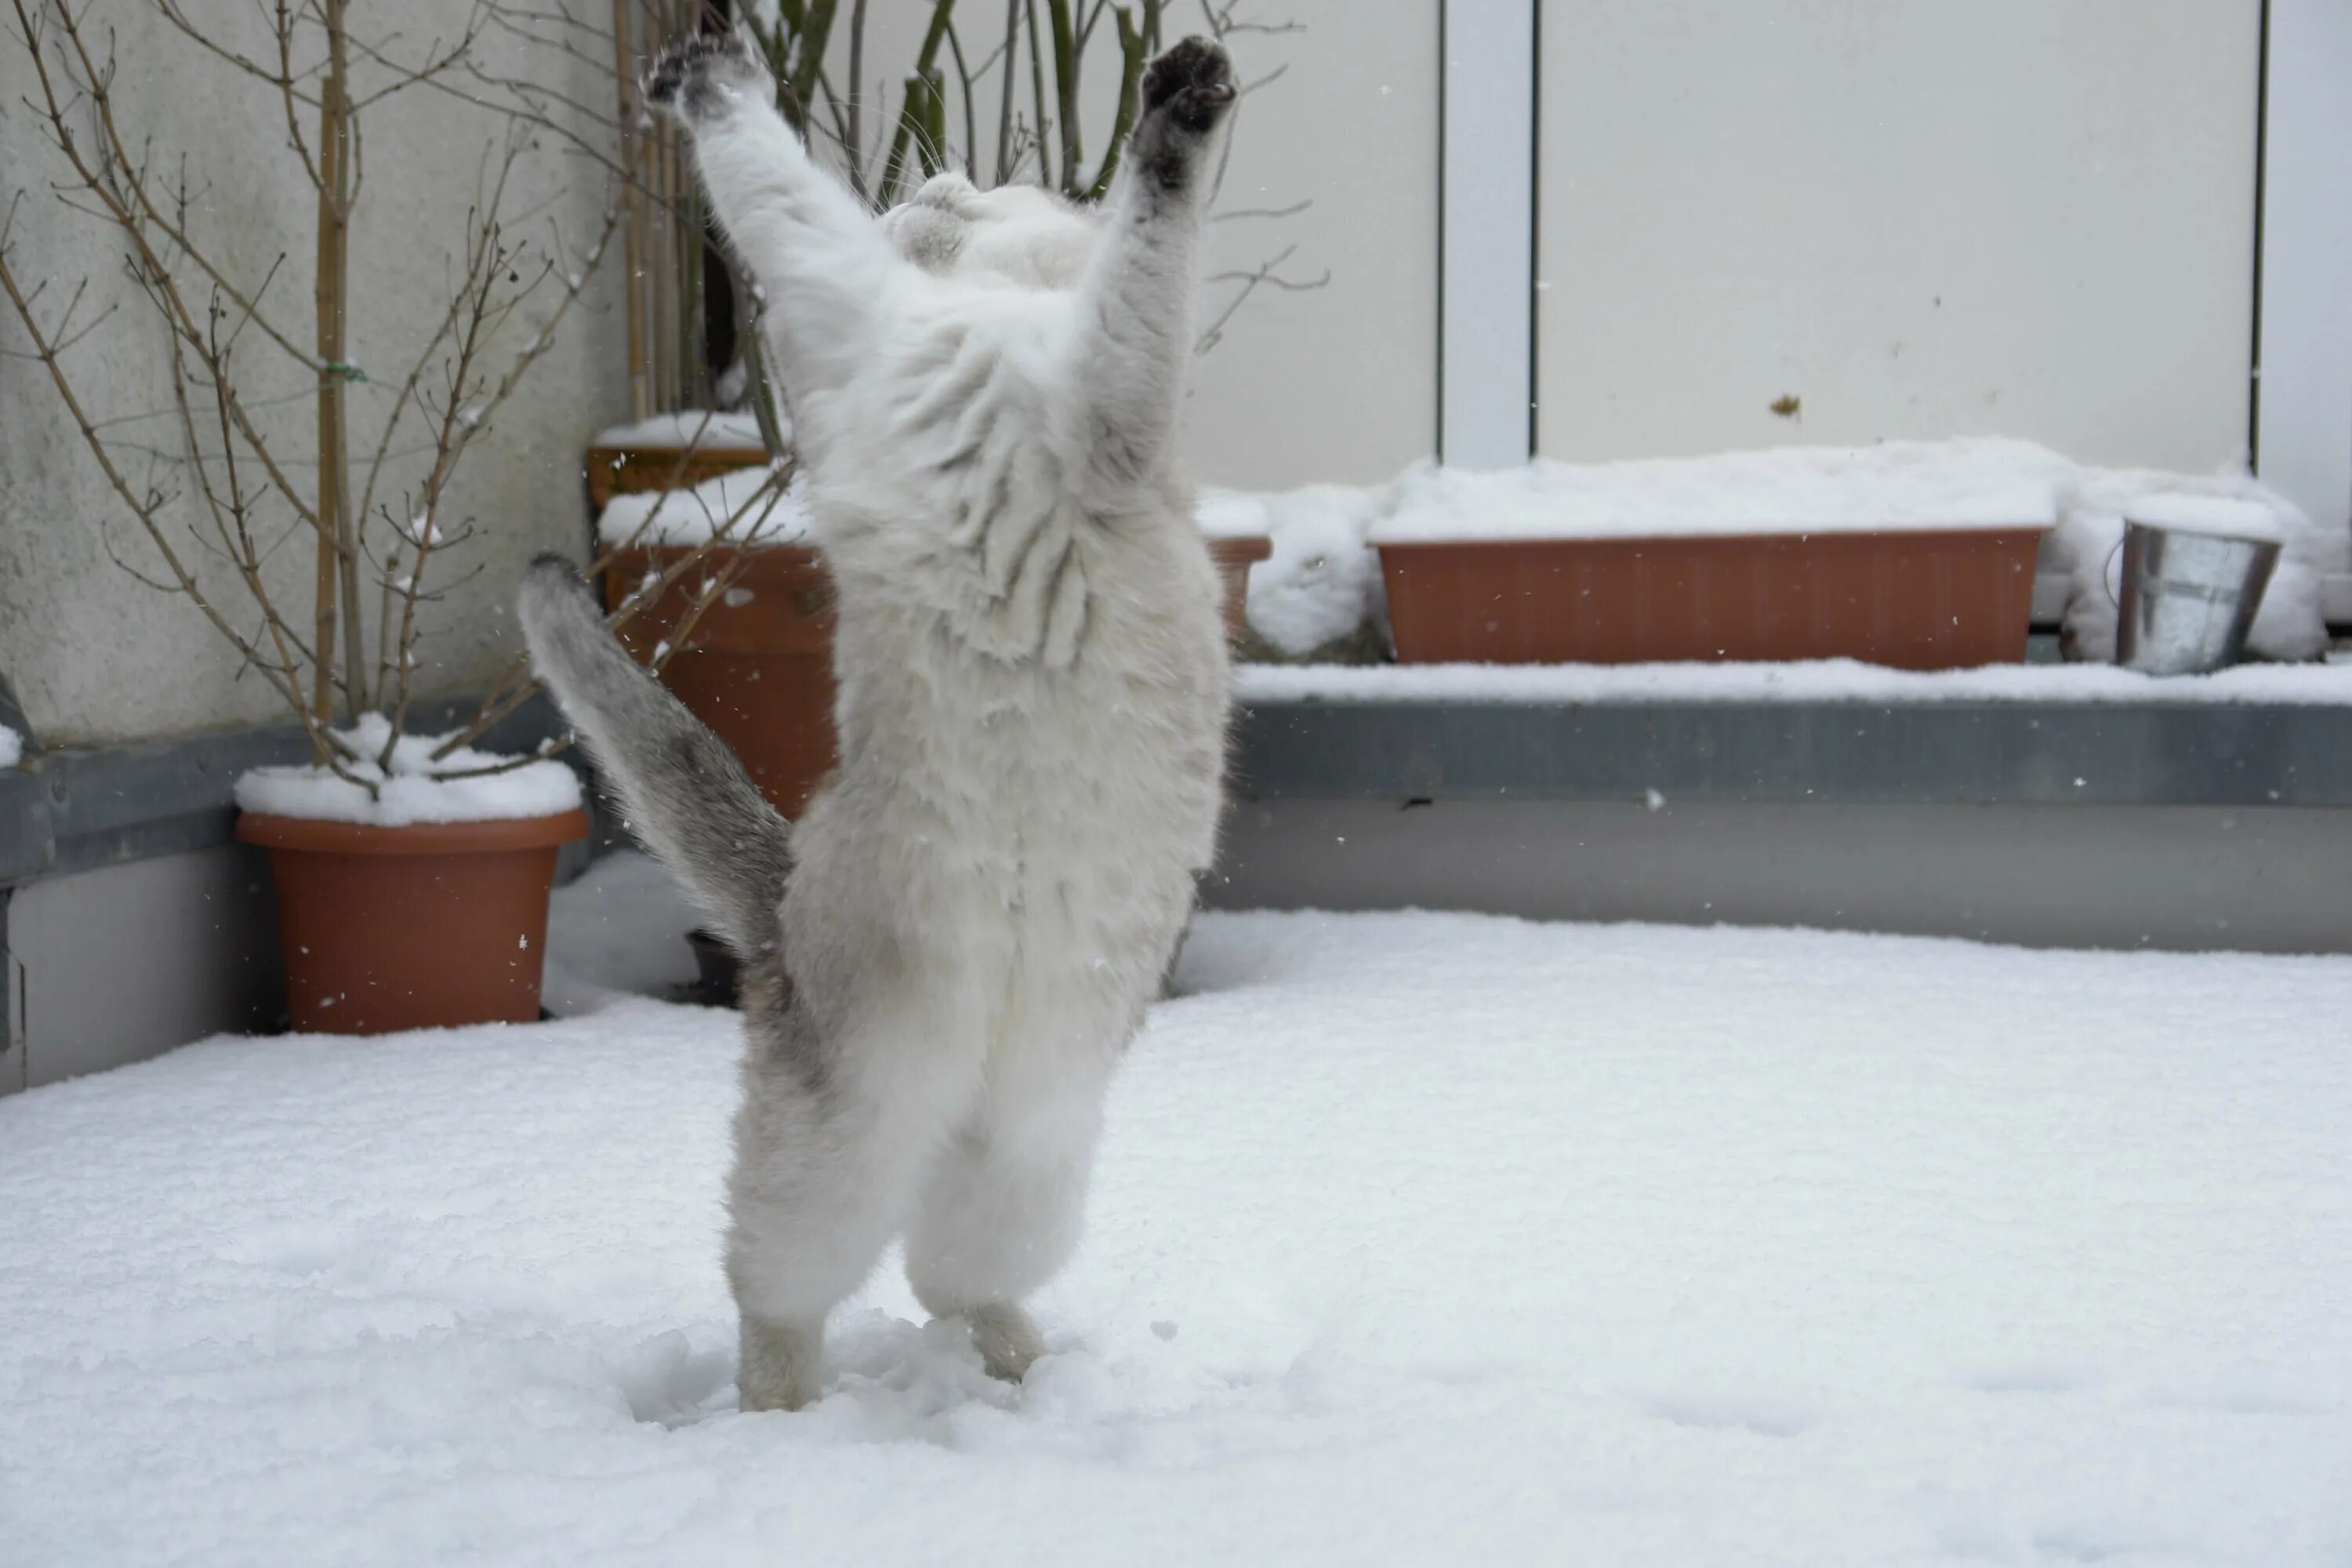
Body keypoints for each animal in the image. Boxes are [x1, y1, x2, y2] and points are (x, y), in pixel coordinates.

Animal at [517, 34, 1242, 1410]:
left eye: (981, 190)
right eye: (942, 192)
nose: (935, 185)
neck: (966, 313)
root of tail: (779, 909)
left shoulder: (1105, 399)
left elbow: (1146, 227)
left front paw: (1184, 95)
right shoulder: (864, 308)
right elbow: (767, 177)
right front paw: (705, 72)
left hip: (1030, 1163)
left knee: (948, 1279)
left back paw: (1024, 1381)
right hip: (844, 1147)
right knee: (784, 1293)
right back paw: (783, 1417)